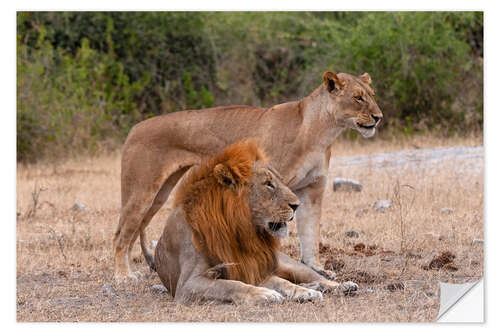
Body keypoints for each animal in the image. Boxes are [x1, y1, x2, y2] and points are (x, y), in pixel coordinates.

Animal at [113, 69, 382, 280]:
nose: (379, 117)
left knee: (133, 232)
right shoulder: (273, 188)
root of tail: (135, 128)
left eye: (372, 95)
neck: (321, 132)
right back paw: (123, 276)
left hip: (160, 193)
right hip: (141, 191)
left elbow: (310, 234)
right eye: (358, 98)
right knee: (120, 235)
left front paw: (317, 268)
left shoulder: (313, 190)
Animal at [153, 140, 360, 304]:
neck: (239, 231)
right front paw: (265, 294)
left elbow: (279, 282)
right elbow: (230, 285)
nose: (297, 205)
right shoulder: (187, 285)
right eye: (268, 184)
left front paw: (295, 292)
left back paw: (339, 286)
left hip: (288, 264)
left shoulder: (254, 269)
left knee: (311, 277)